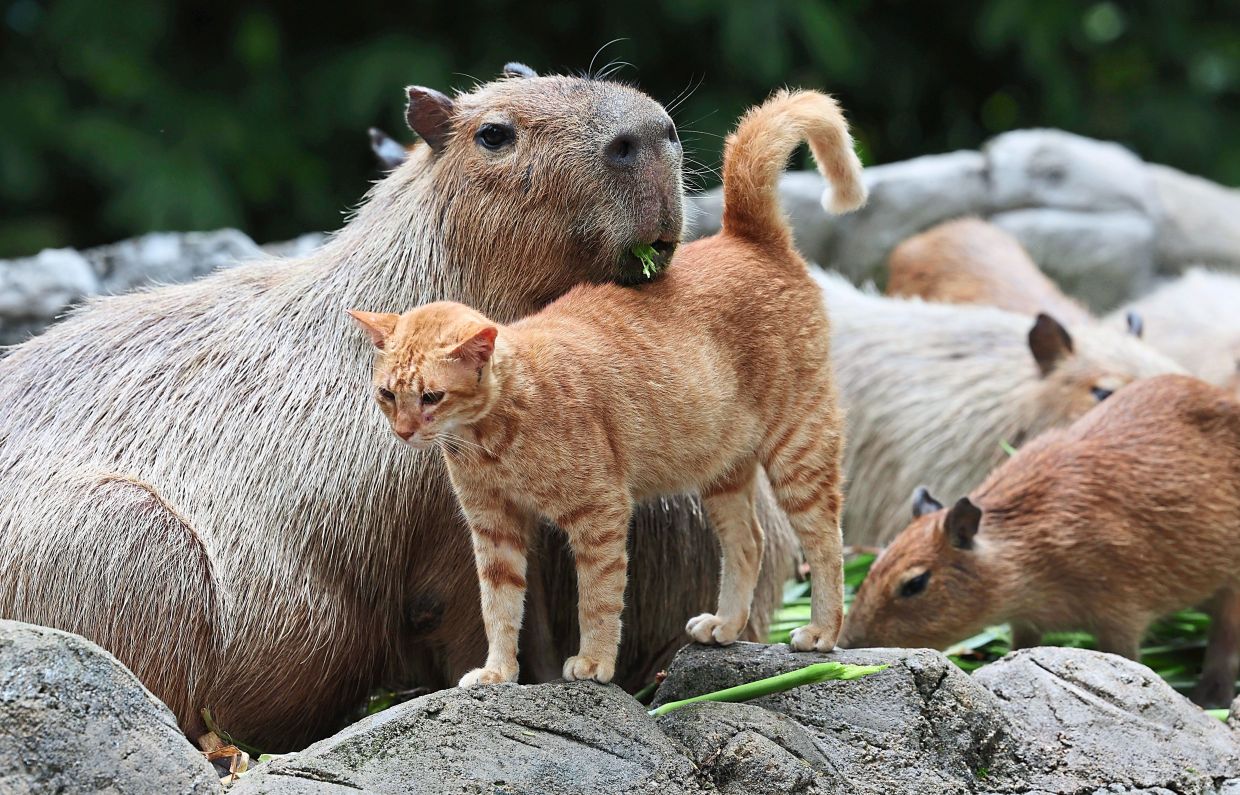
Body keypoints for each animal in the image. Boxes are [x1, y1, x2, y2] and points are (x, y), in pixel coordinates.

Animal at [349, 89, 868, 684]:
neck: (493, 438)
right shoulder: (494, 531)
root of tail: (747, 236)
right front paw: (498, 673)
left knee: (826, 538)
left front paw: (594, 662)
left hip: (797, 447)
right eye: (388, 395)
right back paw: (726, 625)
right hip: (723, 469)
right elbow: (498, 608)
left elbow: (597, 598)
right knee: (748, 541)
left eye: (431, 397)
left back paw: (822, 631)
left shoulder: (599, 515)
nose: (404, 431)